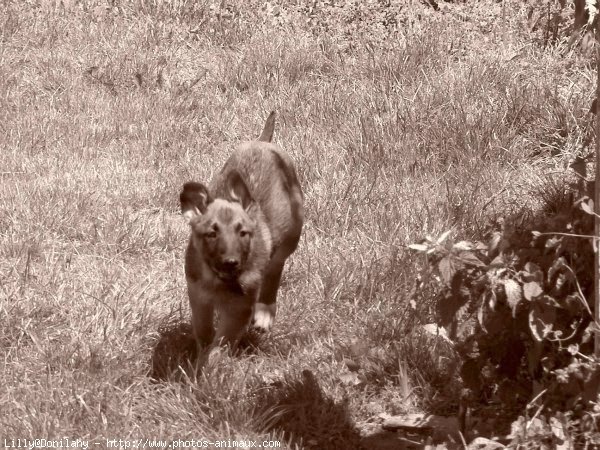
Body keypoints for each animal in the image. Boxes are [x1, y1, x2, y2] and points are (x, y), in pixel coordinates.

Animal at [177, 110, 300, 350]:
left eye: (243, 233)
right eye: (212, 234)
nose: (231, 262)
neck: (218, 281)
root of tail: (262, 142)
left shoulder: (239, 311)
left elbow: (220, 346)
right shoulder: (198, 298)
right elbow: (204, 333)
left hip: (292, 232)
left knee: (276, 268)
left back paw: (265, 311)